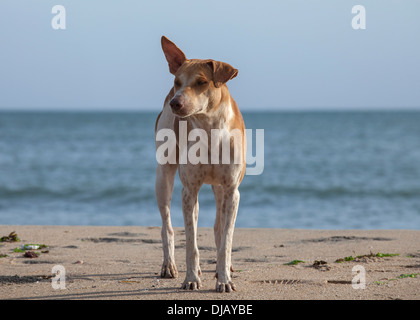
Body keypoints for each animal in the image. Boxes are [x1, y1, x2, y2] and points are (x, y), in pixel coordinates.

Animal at [155, 35, 246, 292]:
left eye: (202, 82)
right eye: (177, 81)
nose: (175, 103)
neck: (209, 129)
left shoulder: (232, 190)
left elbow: (226, 240)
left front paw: (224, 279)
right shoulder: (189, 190)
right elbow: (191, 244)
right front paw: (191, 278)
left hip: (219, 188)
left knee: (218, 227)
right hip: (163, 177)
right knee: (167, 225)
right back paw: (169, 265)